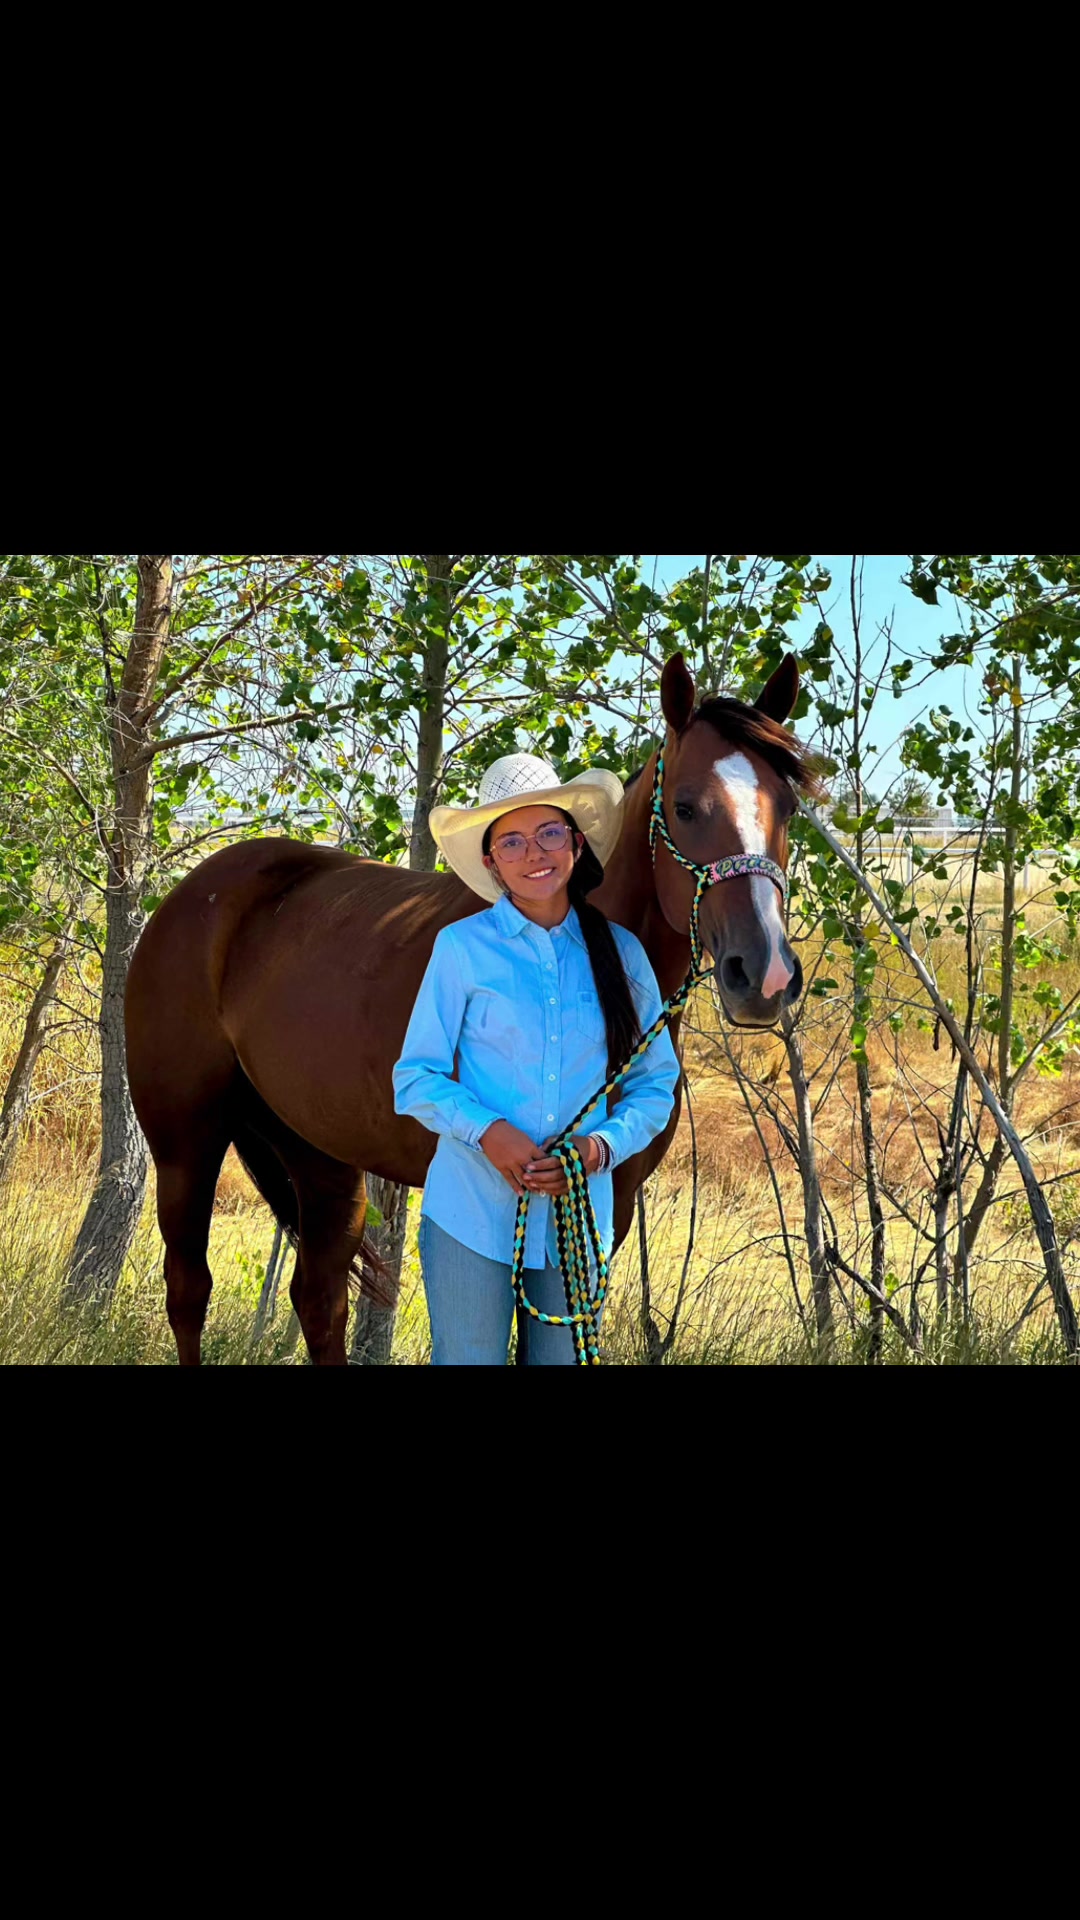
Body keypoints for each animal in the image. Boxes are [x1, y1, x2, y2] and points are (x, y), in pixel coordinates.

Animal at [125, 651, 816, 1365]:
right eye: (684, 807)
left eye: (789, 808)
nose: (764, 972)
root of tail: (195, 893)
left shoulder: (607, 1202)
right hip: (185, 1143)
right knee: (189, 1288)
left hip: (317, 1153)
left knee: (319, 1299)